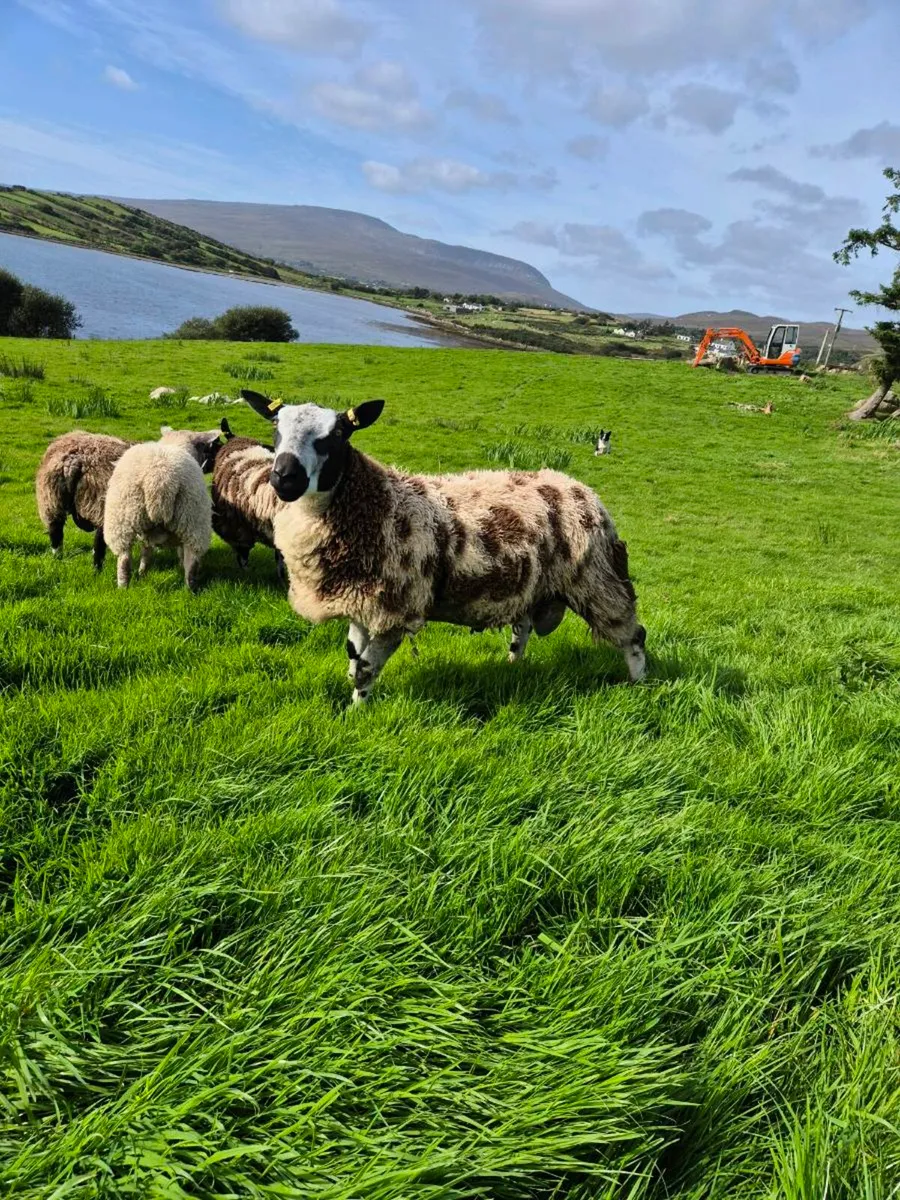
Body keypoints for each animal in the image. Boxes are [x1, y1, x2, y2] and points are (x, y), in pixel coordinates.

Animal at [36, 431, 135, 569]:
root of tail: (73, 462)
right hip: (101, 505)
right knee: (99, 542)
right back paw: (97, 569)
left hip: (51, 500)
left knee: (56, 533)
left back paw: (58, 561)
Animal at [103, 426, 224, 591]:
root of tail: (160, 479)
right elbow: (174, 553)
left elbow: (146, 551)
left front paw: (142, 572)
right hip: (193, 521)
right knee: (191, 564)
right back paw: (190, 590)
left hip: (123, 520)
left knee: (124, 561)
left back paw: (124, 589)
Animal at [241, 389, 646, 704]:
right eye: (275, 428)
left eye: (339, 434)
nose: (285, 477)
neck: (380, 502)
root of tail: (582, 490)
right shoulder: (362, 601)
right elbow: (353, 661)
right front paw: (353, 706)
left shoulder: (397, 608)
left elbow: (366, 669)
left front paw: (358, 714)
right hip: (538, 587)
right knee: (523, 632)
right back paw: (511, 668)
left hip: (598, 580)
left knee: (633, 634)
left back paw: (640, 684)